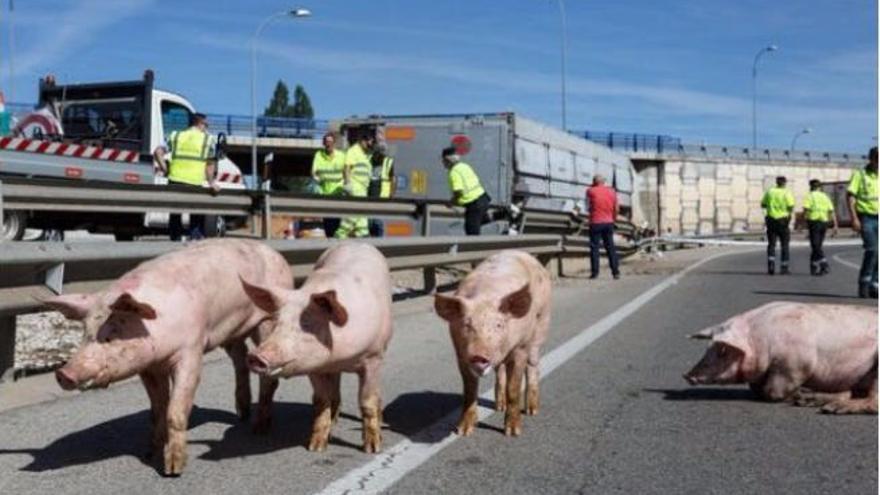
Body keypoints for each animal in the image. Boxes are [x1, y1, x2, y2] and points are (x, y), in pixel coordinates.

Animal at [45, 240, 292, 476]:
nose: (64, 373)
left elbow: (175, 410)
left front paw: (173, 469)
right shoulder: (148, 367)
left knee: (266, 372)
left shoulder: (191, 350)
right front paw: (149, 453)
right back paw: (242, 413)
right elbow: (157, 410)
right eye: (85, 333)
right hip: (230, 331)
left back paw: (259, 429)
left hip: (268, 319)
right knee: (240, 357)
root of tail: (275, 253)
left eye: (112, 334)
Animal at [241, 242, 392, 456]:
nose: (256, 356)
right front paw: (316, 447)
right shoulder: (313, 367)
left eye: (308, 324)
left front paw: (372, 449)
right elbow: (321, 401)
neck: (338, 357)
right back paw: (334, 421)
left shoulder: (373, 357)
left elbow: (367, 401)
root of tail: (356, 242)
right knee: (335, 390)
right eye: (276, 322)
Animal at [434, 252, 552, 438]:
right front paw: (463, 431)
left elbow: (514, 388)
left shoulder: (520, 348)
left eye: (499, 325)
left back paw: (532, 410)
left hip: (541, 326)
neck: (485, 296)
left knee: (533, 365)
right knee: (500, 369)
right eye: (466, 324)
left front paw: (512, 432)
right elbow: (469, 391)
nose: (478, 354)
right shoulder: (460, 354)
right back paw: (499, 406)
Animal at [684, 302, 876, 414]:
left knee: (873, 401)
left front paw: (794, 396)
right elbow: (757, 388)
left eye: (722, 351)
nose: (687, 375)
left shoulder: (795, 365)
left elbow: (773, 391)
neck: (760, 340)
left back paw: (831, 409)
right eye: (707, 348)